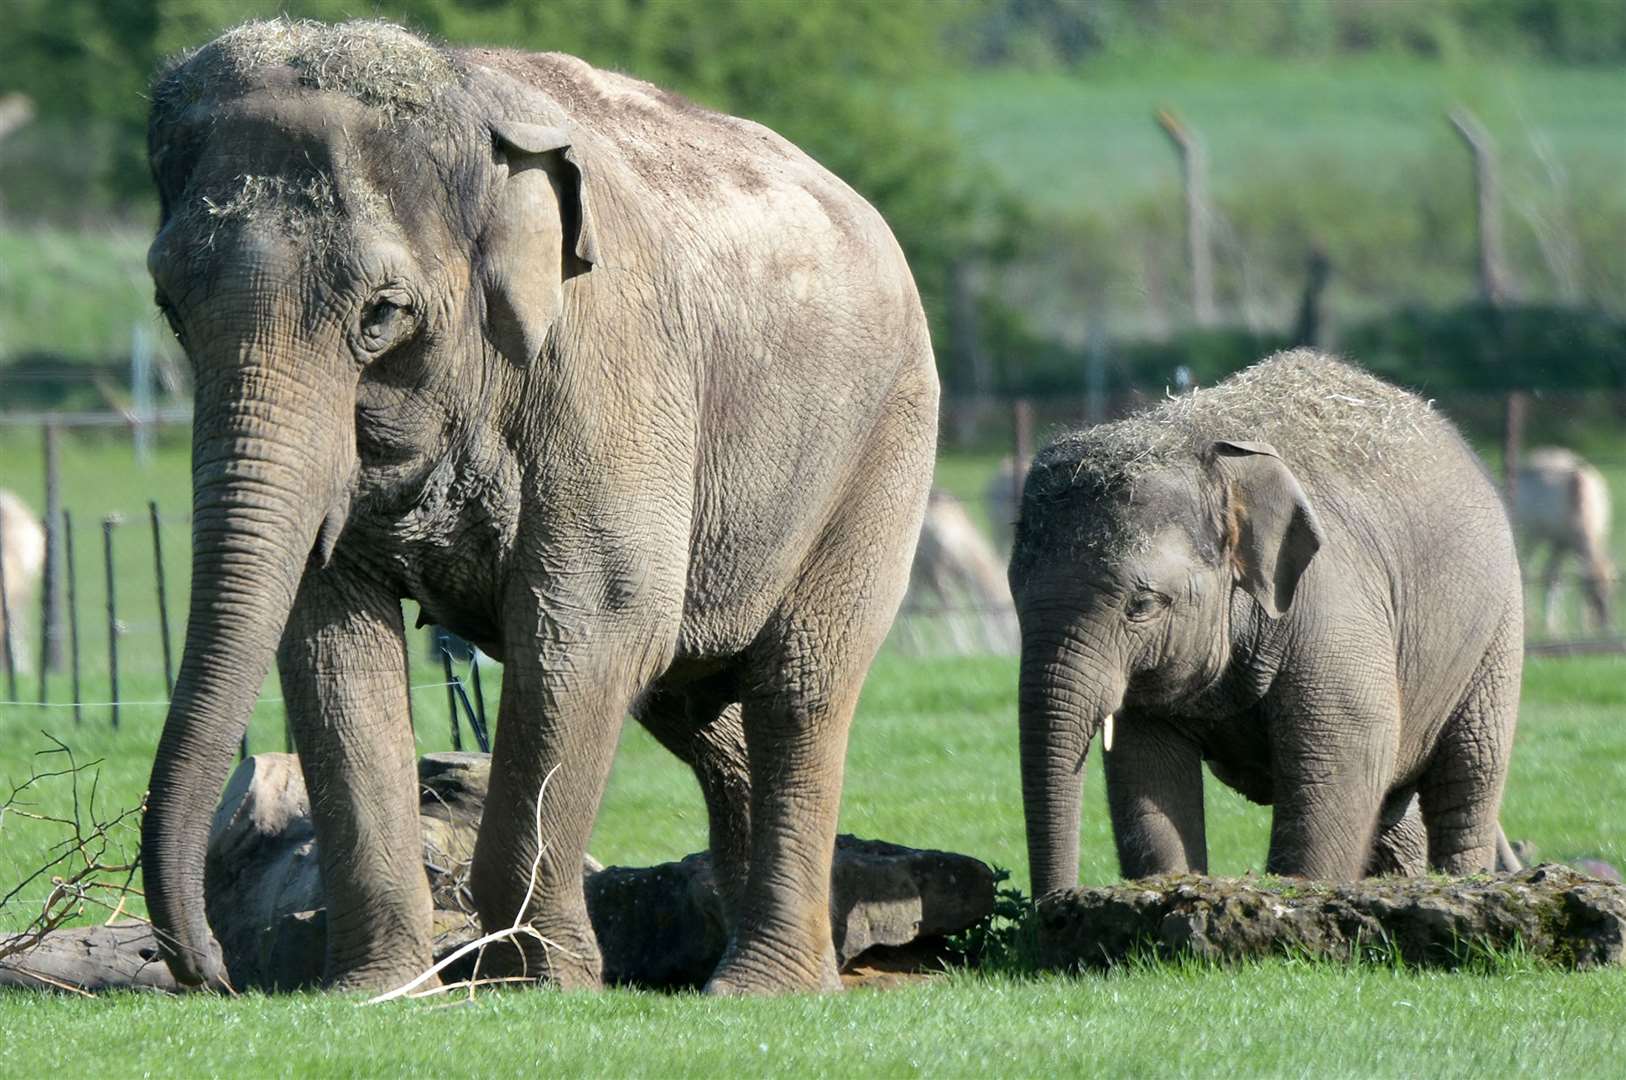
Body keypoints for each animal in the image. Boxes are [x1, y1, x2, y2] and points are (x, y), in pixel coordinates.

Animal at [146, 19, 936, 995]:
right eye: (169, 306)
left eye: (381, 315)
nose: (212, 972)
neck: (465, 102)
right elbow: (328, 637)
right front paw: (377, 992)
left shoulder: (608, 362)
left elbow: (590, 624)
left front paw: (537, 983)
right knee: (702, 710)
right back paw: (792, 968)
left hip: (882, 446)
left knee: (798, 684)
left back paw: (761, 984)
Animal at [1008, 354, 1528, 891]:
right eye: (1014, 597)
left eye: (1142, 604)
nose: (1055, 901)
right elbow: (1145, 771)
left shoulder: (1334, 605)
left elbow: (1345, 754)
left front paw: (1298, 889)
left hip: (1498, 631)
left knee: (1468, 780)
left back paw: (1462, 878)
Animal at [1508, 445, 1612, 634]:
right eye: (1591, 590)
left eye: (1612, 589)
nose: (1603, 623)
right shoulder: (1560, 541)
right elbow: (1553, 577)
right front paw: (1552, 624)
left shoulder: (1564, 544)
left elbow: (1556, 577)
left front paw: (1576, 625)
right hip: (1533, 535)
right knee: (1526, 568)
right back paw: (1530, 618)